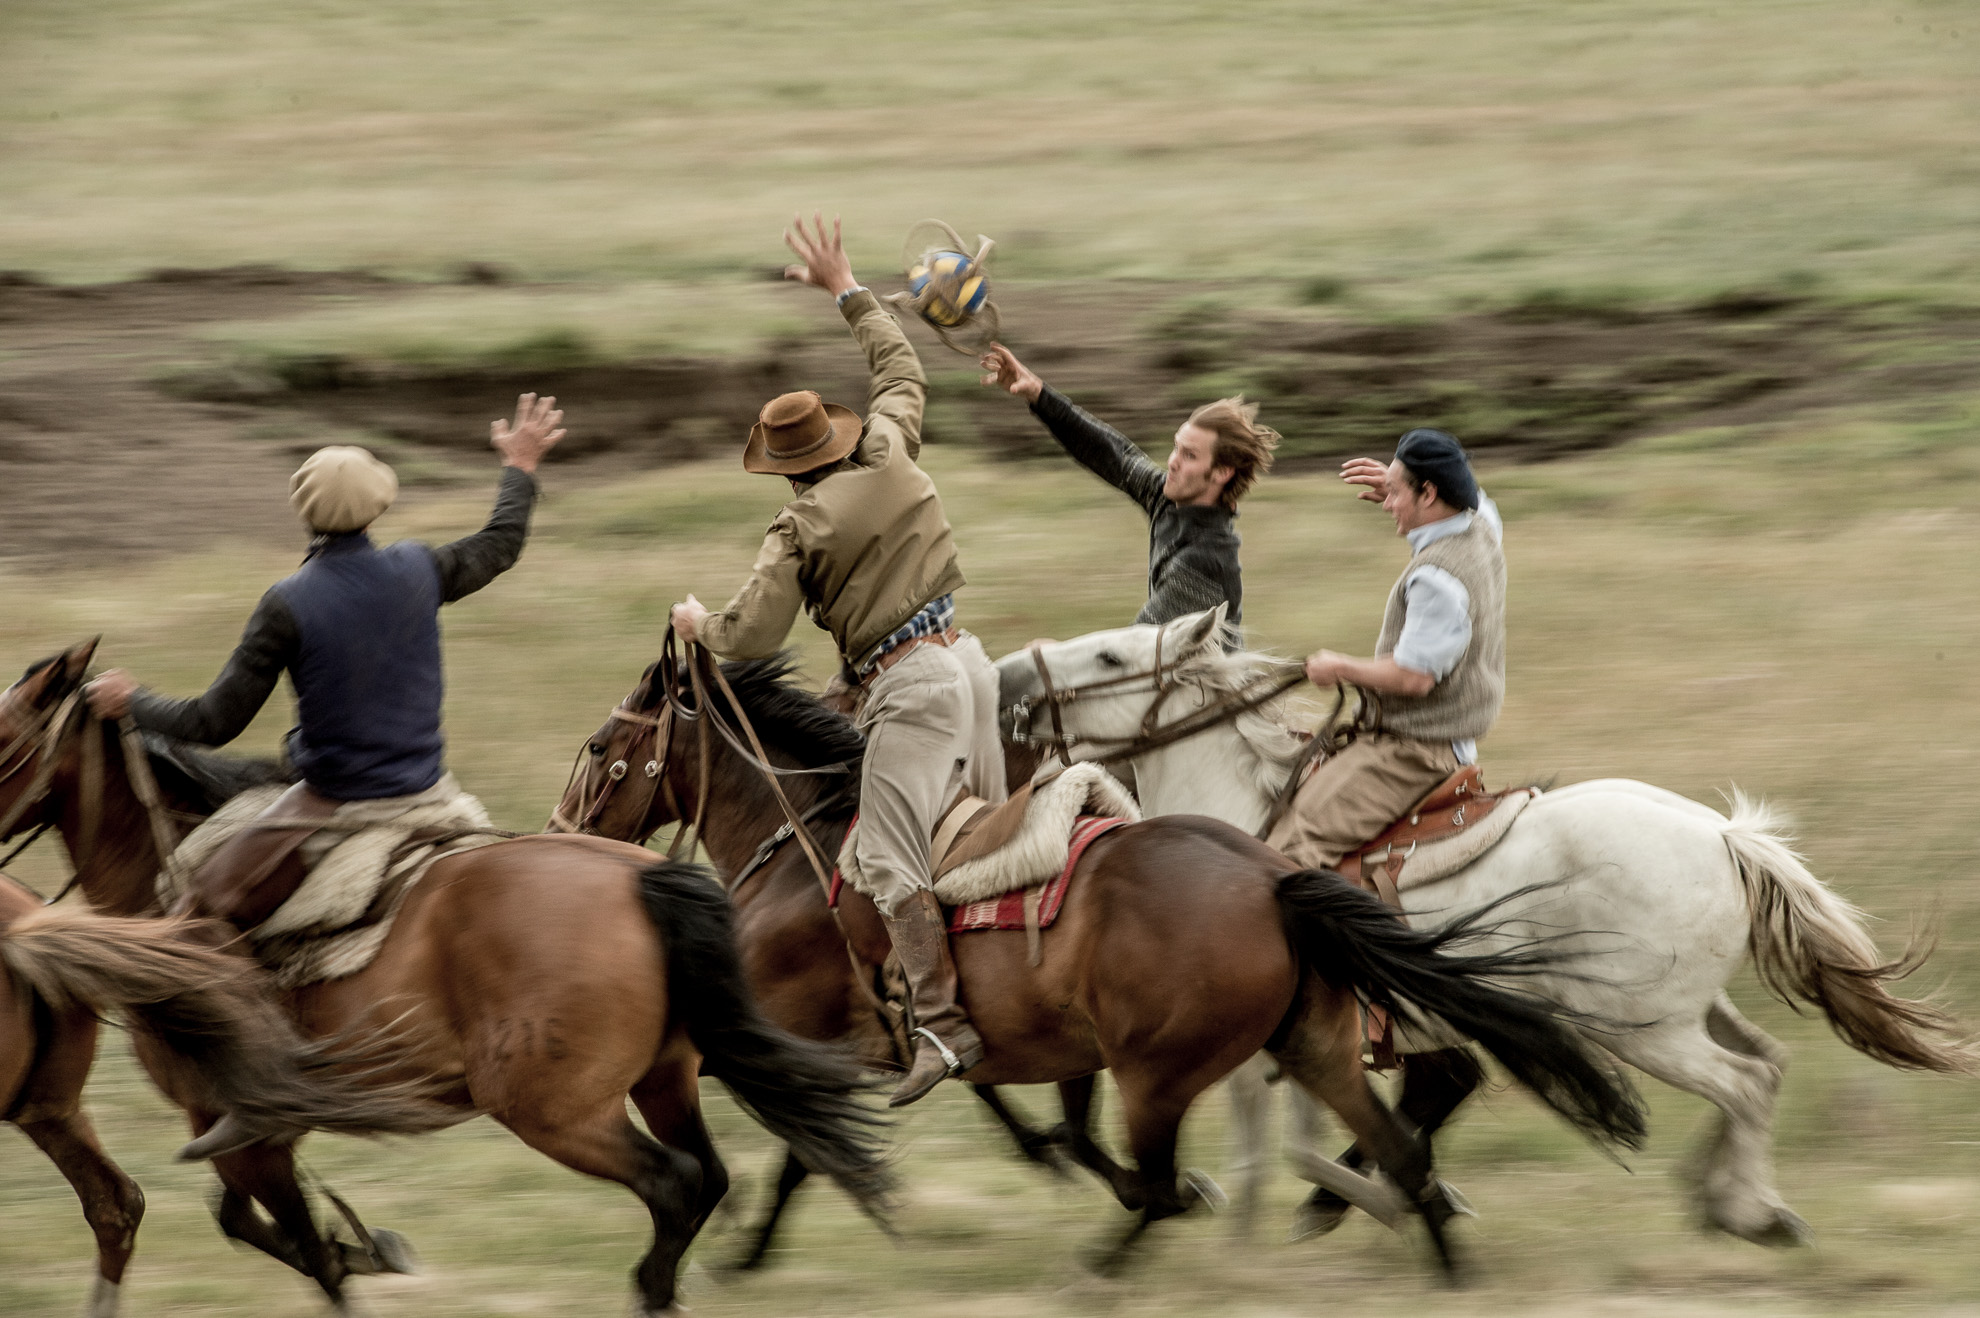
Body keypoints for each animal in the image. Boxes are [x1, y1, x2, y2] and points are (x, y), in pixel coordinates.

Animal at [0, 637, 883, 1314]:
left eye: (2, 739)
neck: (165, 879)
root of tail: (644, 881)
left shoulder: (235, 1122)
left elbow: (293, 1243)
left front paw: (354, 1254)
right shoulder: (255, 1129)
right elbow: (251, 1223)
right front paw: (368, 1246)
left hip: (553, 1111)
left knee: (674, 1185)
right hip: (662, 1081)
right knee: (708, 1179)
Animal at [550, 645, 1647, 1274]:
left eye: (603, 745)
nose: (562, 831)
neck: (805, 841)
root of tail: (1272, 880)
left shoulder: (807, 1039)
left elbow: (809, 1145)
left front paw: (750, 1250)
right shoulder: (1027, 1046)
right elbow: (1048, 1128)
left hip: (1160, 1073)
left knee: (1183, 1176)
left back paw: (1122, 1259)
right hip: (1312, 1046)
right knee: (1404, 1142)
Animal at [997, 605, 1972, 1242]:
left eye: (1110, 656)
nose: (1006, 677)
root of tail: (1724, 836)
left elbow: (1290, 1152)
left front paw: (1396, 1205)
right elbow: (1298, 1146)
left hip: (1644, 1028)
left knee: (1745, 1084)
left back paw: (1750, 1211)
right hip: (1690, 1009)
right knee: (1766, 1064)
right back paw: (1726, 1195)